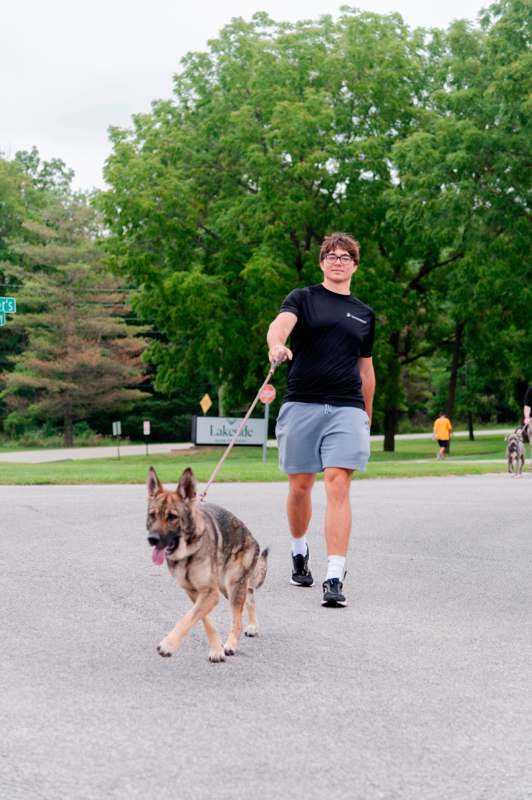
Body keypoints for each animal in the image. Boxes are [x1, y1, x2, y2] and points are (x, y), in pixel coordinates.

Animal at [145, 462, 268, 664]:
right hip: (226, 588)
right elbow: (205, 620)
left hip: (232, 586)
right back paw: (252, 626)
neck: (188, 552)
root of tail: (252, 538)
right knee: (249, 598)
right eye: (152, 515)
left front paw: (168, 644)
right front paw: (216, 649)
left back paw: (232, 643)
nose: (152, 539)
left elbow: (186, 619)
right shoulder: (197, 593)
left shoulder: (210, 593)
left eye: (172, 517)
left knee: (238, 618)